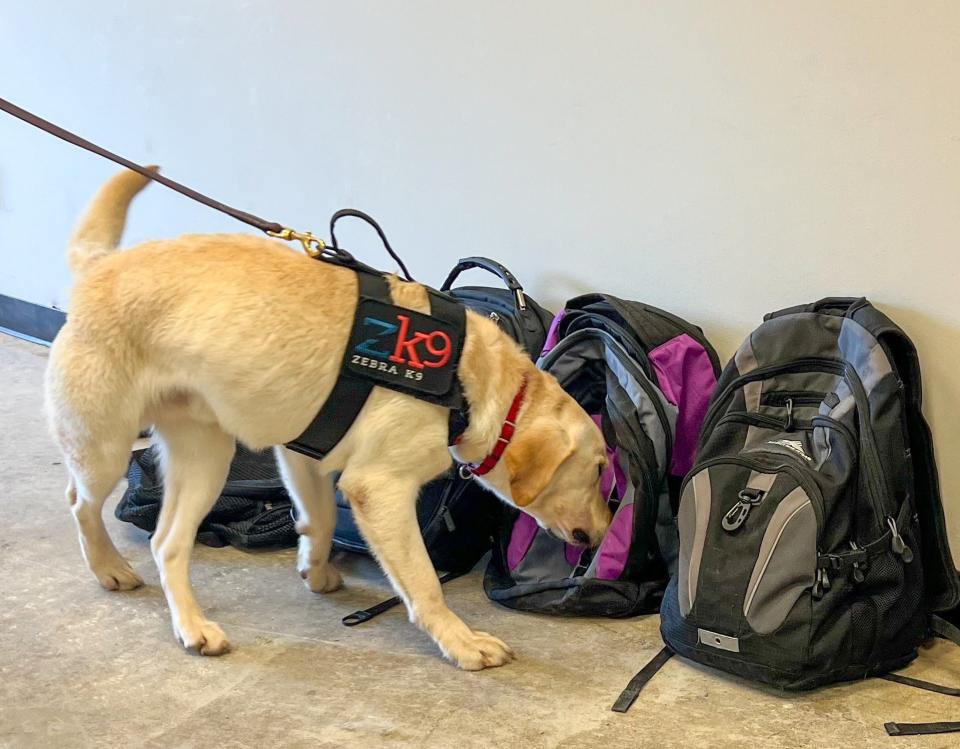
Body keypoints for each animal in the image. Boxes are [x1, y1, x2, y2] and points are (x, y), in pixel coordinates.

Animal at [45, 172, 612, 668]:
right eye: (600, 469)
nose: (606, 531)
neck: (468, 379)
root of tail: (100, 267)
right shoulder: (379, 488)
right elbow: (425, 581)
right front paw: (461, 642)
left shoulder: (304, 457)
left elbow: (317, 521)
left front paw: (315, 571)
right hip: (106, 446)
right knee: (79, 502)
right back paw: (110, 569)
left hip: (205, 457)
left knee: (166, 543)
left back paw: (193, 627)